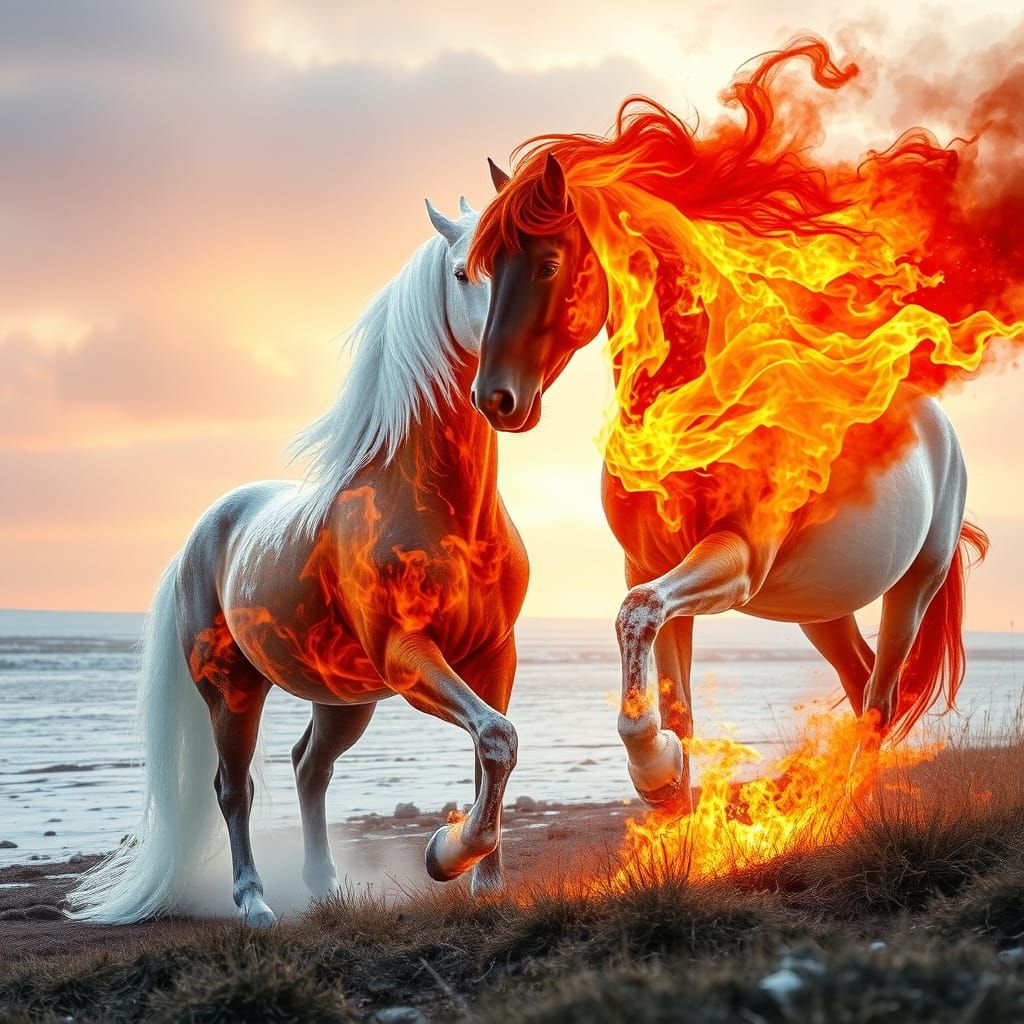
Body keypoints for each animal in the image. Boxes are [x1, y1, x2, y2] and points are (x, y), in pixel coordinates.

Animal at [68, 199, 528, 926]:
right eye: (463, 271)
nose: (508, 388)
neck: (442, 509)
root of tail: (198, 538)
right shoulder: (407, 655)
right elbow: (495, 738)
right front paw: (444, 856)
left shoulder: (494, 654)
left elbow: (493, 747)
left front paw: (483, 882)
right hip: (232, 689)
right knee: (233, 788)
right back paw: (255, 903)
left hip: (343, 699)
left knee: (310, 766)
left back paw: (325, 886)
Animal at [464, 39, 1009, 810]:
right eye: (485, 269)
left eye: (546, 263)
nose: (497, 400)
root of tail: (941, 433)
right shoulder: (652, 565)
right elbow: (677, 700)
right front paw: (671, 796)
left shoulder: (735, 558)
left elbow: (636, 616)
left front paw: (654, 767)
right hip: (821, 606)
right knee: (860, 679)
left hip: (912, 588)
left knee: (881, 697)